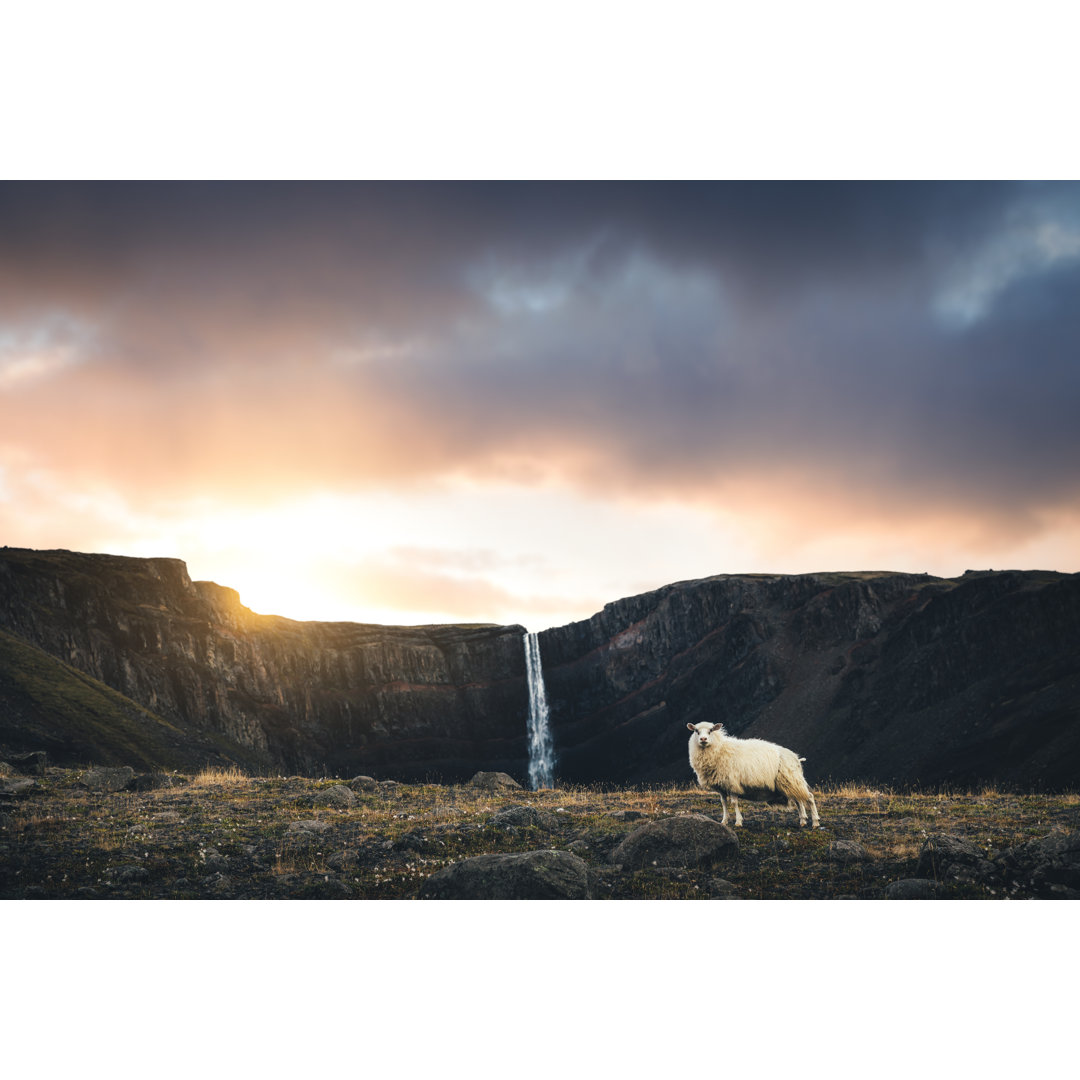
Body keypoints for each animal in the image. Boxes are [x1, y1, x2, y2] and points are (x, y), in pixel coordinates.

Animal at [686, 721, 820, 829]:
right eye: (696, 731)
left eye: (711, 730)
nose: (703, 739)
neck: (719, 749)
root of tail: (796, 758)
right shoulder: (721, 786)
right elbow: (723, 803)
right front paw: (724, 821)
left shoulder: (732, 783)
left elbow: (734, 803)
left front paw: (738, 822)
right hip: (790, 783)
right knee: (799, 800)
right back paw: (802, 821)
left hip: (792, 780)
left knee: (809, 797)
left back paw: (815, 822)